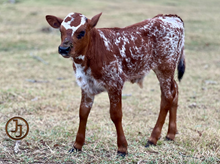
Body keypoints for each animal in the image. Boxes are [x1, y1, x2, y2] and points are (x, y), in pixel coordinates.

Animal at [46, 11, 186, 155]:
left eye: (81, 32)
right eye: (61, 30)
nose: (63, 49)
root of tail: (171, 17)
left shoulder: (115, 83)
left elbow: (116, 114)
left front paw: (122, 147)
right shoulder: (86, 85)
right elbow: (83, 112)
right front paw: (77, 145)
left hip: (165, 67)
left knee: (167, 97)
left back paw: (153, 138)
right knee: (174, 90)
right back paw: (170, 134)